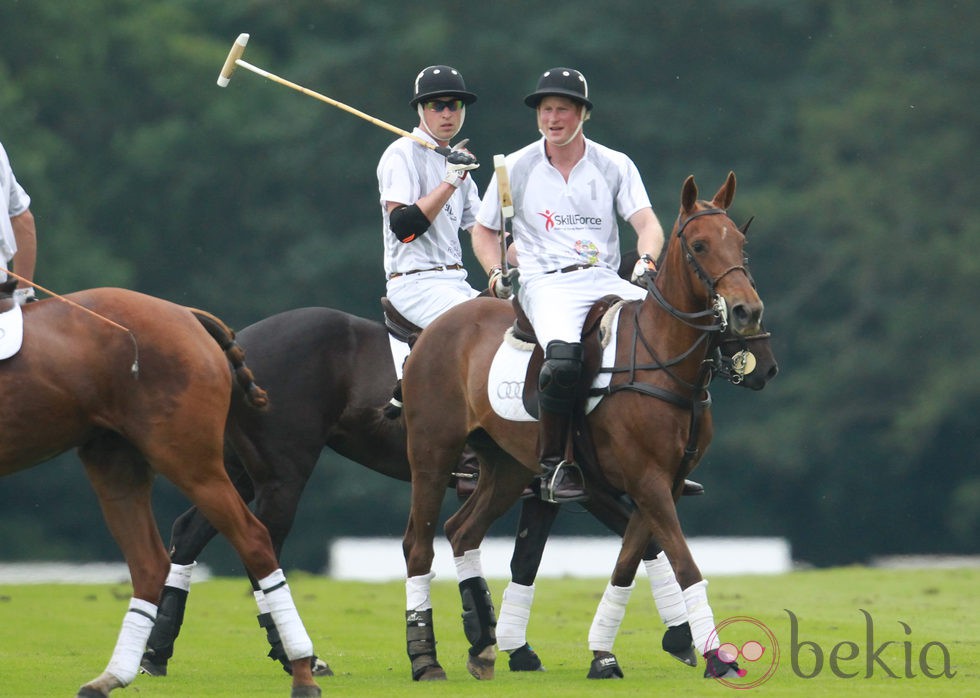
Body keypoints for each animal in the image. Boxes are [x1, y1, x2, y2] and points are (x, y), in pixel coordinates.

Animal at [0, 284, 320, 696]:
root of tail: (185, 312)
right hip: (115, 460)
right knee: (150, 563)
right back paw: (110, 677)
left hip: (188, 458)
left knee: (253, 538)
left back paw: (302, 670)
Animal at [398, 173, 764, 680]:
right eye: (699, 245)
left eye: (742, 246)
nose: (748, 312)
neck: (664, 362)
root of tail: (431, 329)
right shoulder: (645, 479)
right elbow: (682, 561)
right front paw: (716, 657)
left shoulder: (665, 482)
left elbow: (632, 558)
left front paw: (604, 653)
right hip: (432, 450)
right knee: (419, 544)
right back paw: (425, 658)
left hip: (507, 463)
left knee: (462, 530)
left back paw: (484, 646)